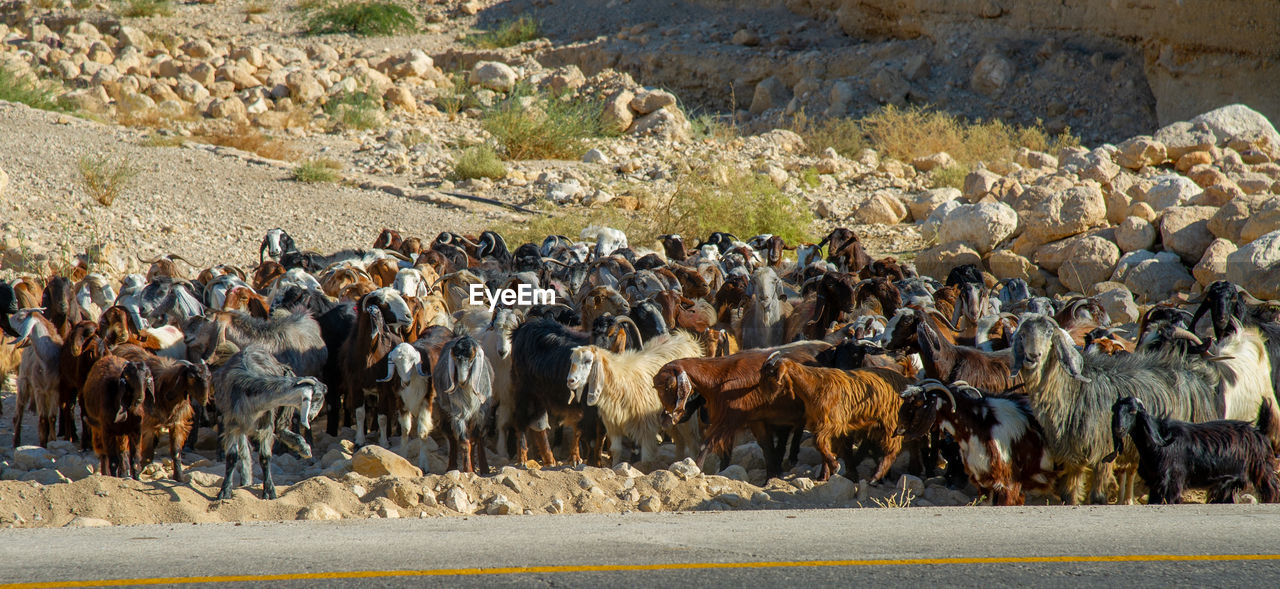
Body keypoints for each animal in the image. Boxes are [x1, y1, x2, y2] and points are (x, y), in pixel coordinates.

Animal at [757, 358, 911, 484]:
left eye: (771, 373)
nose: (762, 394)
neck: (814, 386)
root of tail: (905, 380)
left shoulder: (831, 423)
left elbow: (819, 443)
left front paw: (835, 467)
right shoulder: (820, 424)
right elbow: (824, 446)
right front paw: (824, 475)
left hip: (892, 422)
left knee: (891, 450)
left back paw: (875, 477)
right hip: (876, 425)